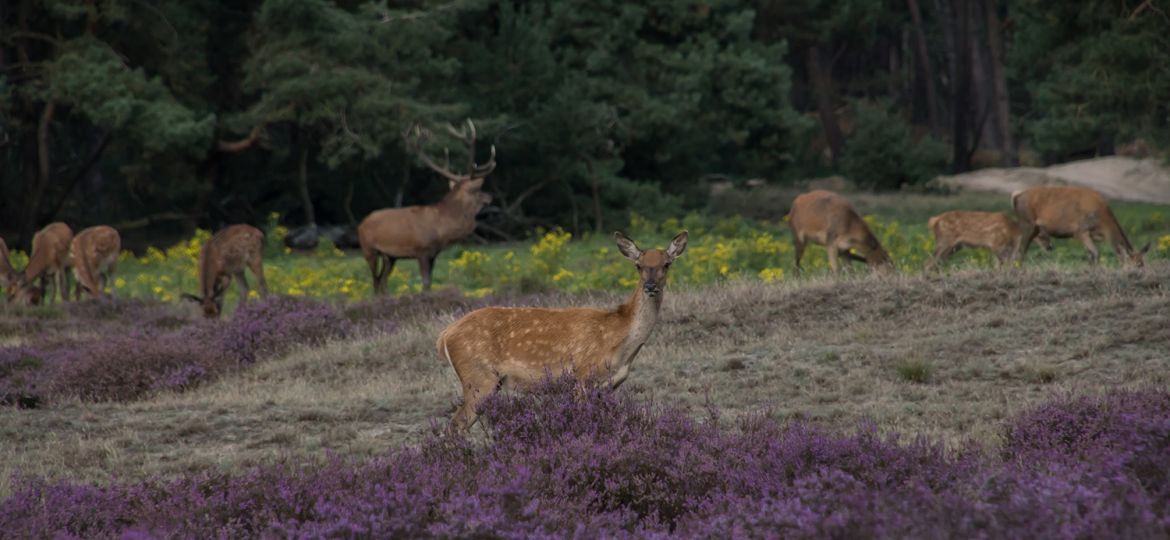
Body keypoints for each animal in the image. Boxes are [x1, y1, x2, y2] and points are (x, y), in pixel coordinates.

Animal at [360, 119, 498, 293]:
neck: (442, 229)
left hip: (390, 256)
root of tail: (361, 224)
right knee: (375, 281)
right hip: (369, 250)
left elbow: (430, 282)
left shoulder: (433, 253)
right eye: (478, 190)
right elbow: (425, 282)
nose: (490, 197)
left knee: (383, 280)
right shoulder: (422, 250)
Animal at [439, 230, 683, 432]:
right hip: (478, 378)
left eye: (667, 264)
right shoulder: (582, 376)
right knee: (455, 425)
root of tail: (445, 335)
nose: (650, 287)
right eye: (638, 265)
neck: (620, 344)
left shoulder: (608, 386)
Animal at [926, 210, 1057, 272]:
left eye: (1049, 234)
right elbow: (1002, 264)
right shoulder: (995, 243)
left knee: (937, 262)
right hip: (944, 241)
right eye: (1041, 235)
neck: (1013, 231)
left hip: (955, 246)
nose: (1050, 247)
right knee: (929, 262)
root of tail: (934, 220)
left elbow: (1006, 263)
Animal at [1010, 187, 1146, 268]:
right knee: (1020, 250)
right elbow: (1095, 252)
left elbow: (1090, 253)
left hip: (1035, 228)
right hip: (1027, 222)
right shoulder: (1080, 230)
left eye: (1143, 263)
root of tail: (1016, 197)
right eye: (1137, 265)